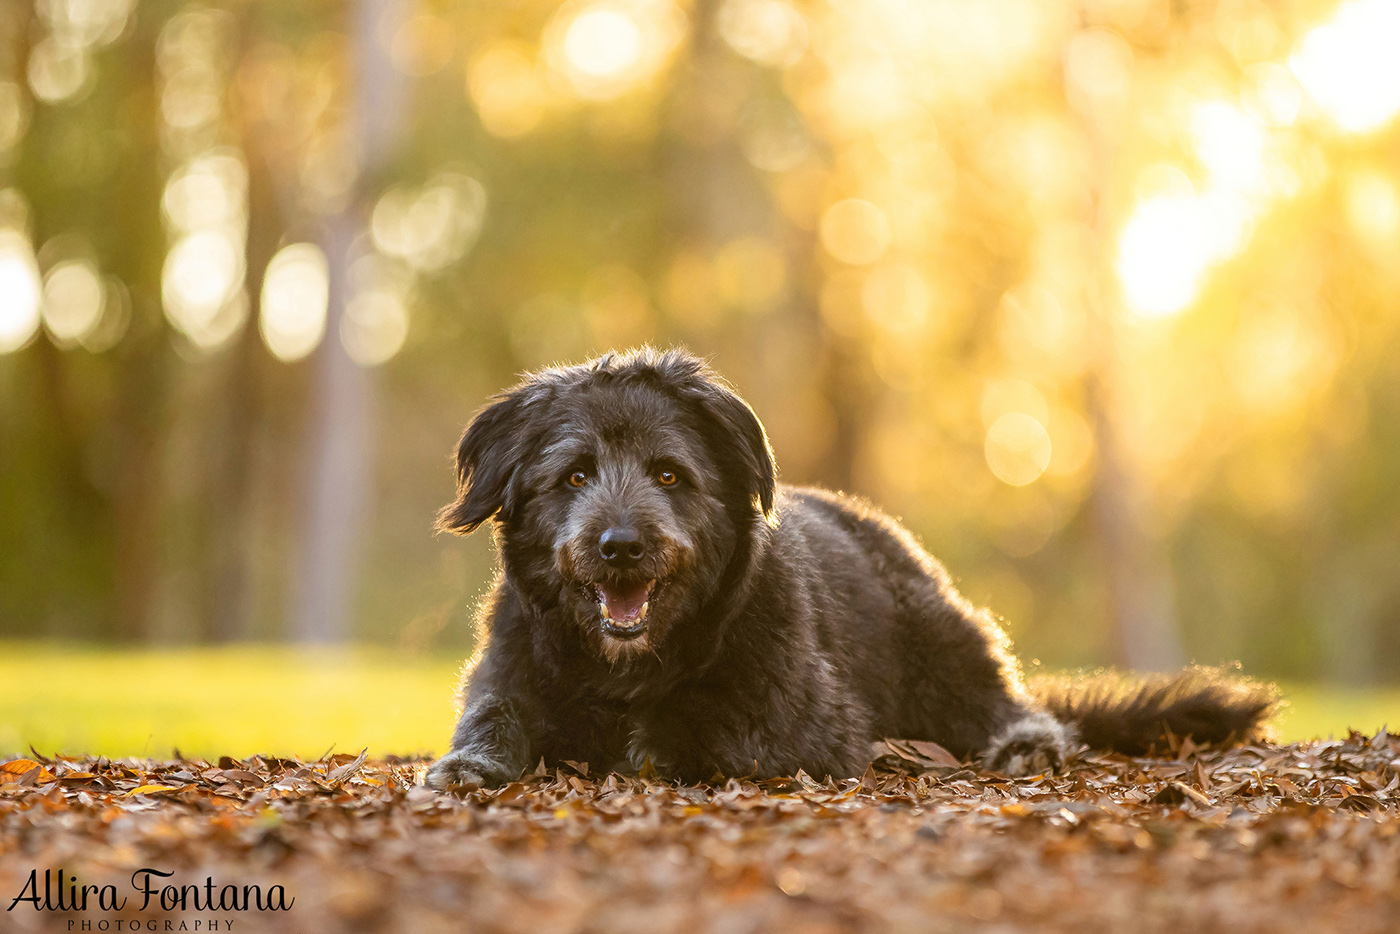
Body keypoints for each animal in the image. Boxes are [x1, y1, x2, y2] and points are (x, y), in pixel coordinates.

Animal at [420, 350, 1276, 789]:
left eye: (668, 473)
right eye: (572, 476)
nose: (621, 545)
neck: (627, 666)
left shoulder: (800, 723)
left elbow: (701, 733)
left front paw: (647, 744)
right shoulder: (511, 670)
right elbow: (496, 714)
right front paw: (472, 762)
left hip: (945, 654)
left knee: (1018, 710)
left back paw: (1025, 746)